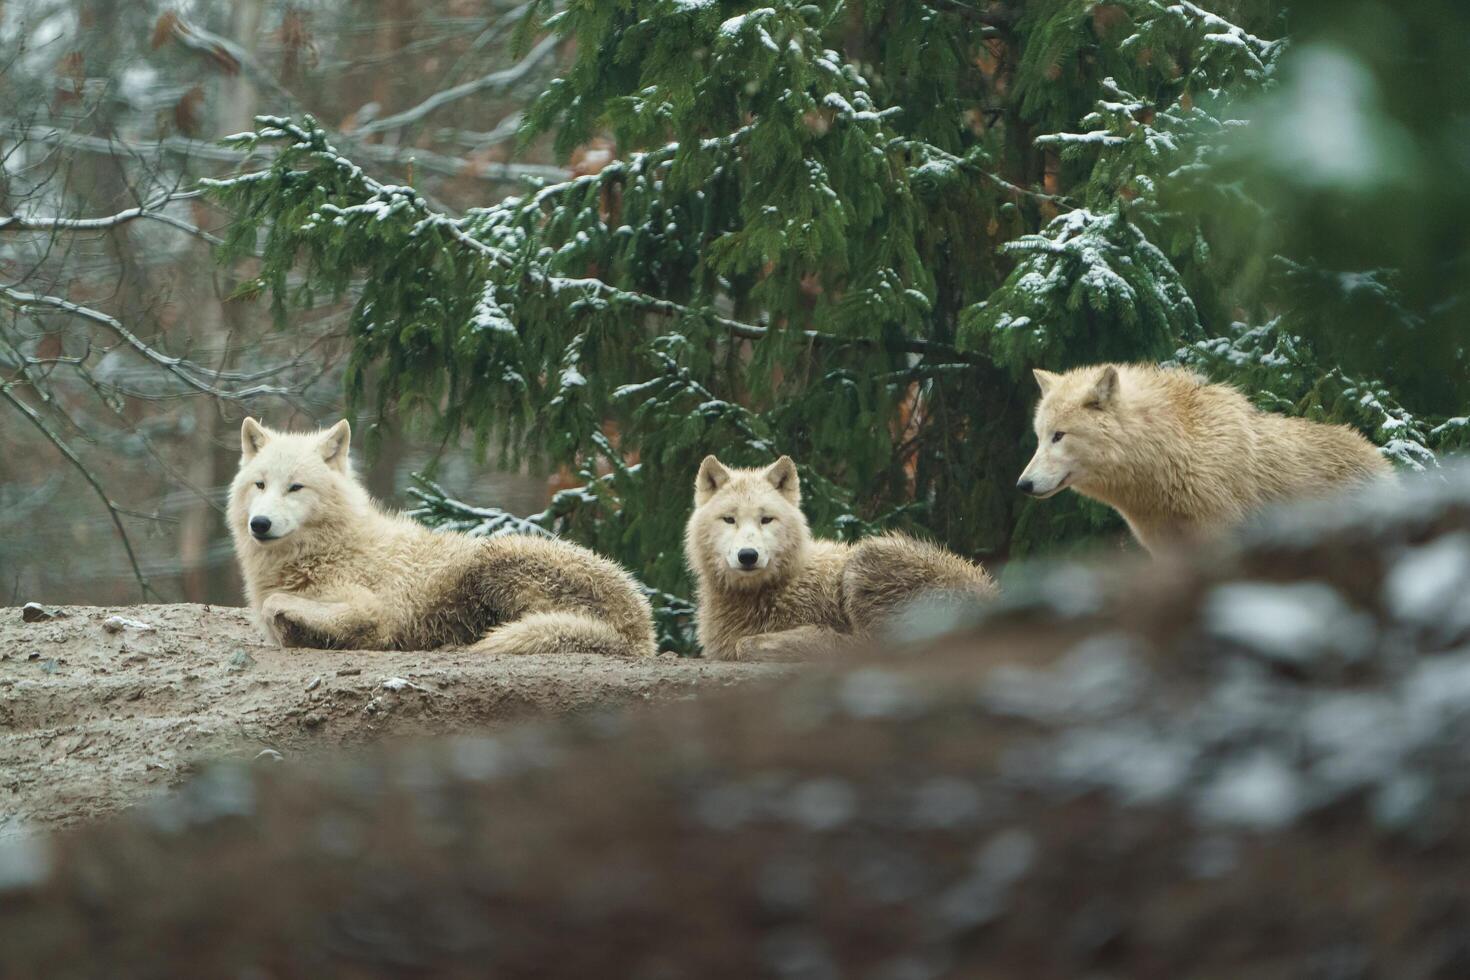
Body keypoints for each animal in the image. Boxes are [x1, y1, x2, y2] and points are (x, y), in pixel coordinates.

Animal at [227, 420, 655, 658]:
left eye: (295, 487)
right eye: (260, 484)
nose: (260, 524)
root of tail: (641, 628)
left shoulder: (374, 608)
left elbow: (283, 606)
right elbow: (279, 621)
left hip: (495, 560)